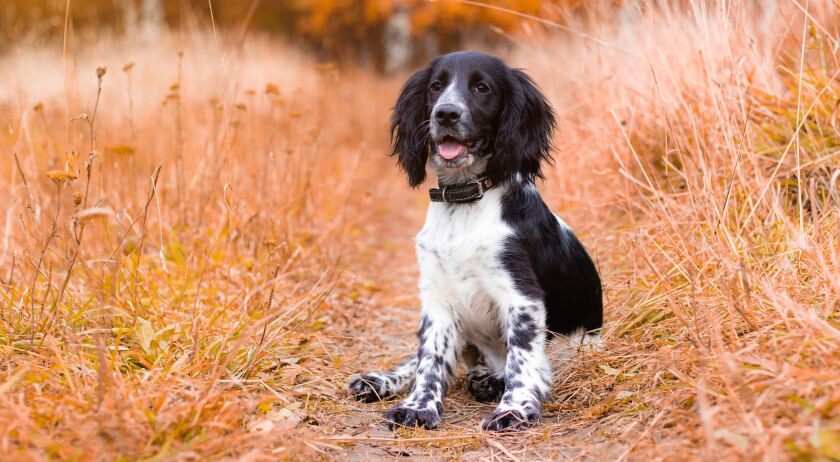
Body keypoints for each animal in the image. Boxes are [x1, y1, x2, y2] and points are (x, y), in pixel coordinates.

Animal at [348, 52, 604, 432]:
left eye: (482, 88)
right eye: (436, 86)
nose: (445, 114)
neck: (464, 201)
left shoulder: (521, 294)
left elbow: (522, 357)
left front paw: (514, 409)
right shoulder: (436, 296)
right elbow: (430, 358)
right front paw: (418, 407)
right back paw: (379, 380)